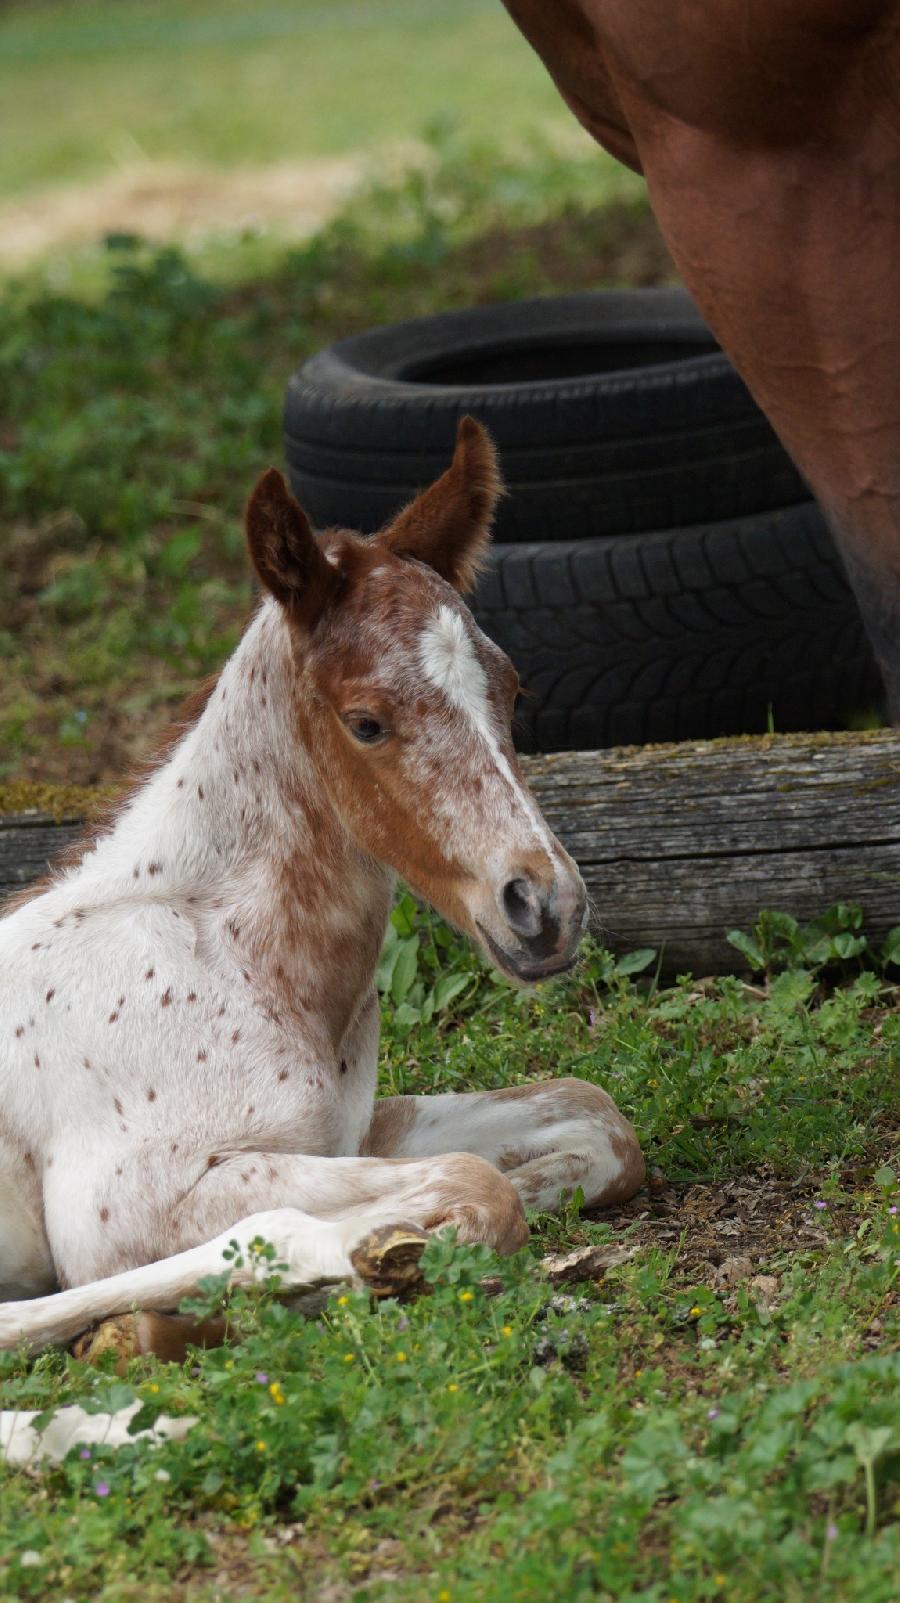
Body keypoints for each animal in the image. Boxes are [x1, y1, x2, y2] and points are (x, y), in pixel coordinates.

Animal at [0, 419, 644, 1359]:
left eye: (513, 689)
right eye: (365, 721)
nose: (545, 906)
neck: (234, 961)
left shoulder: (357, 1128)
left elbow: (594, 1119)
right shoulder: (124, 1206)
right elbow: (475, 1184)